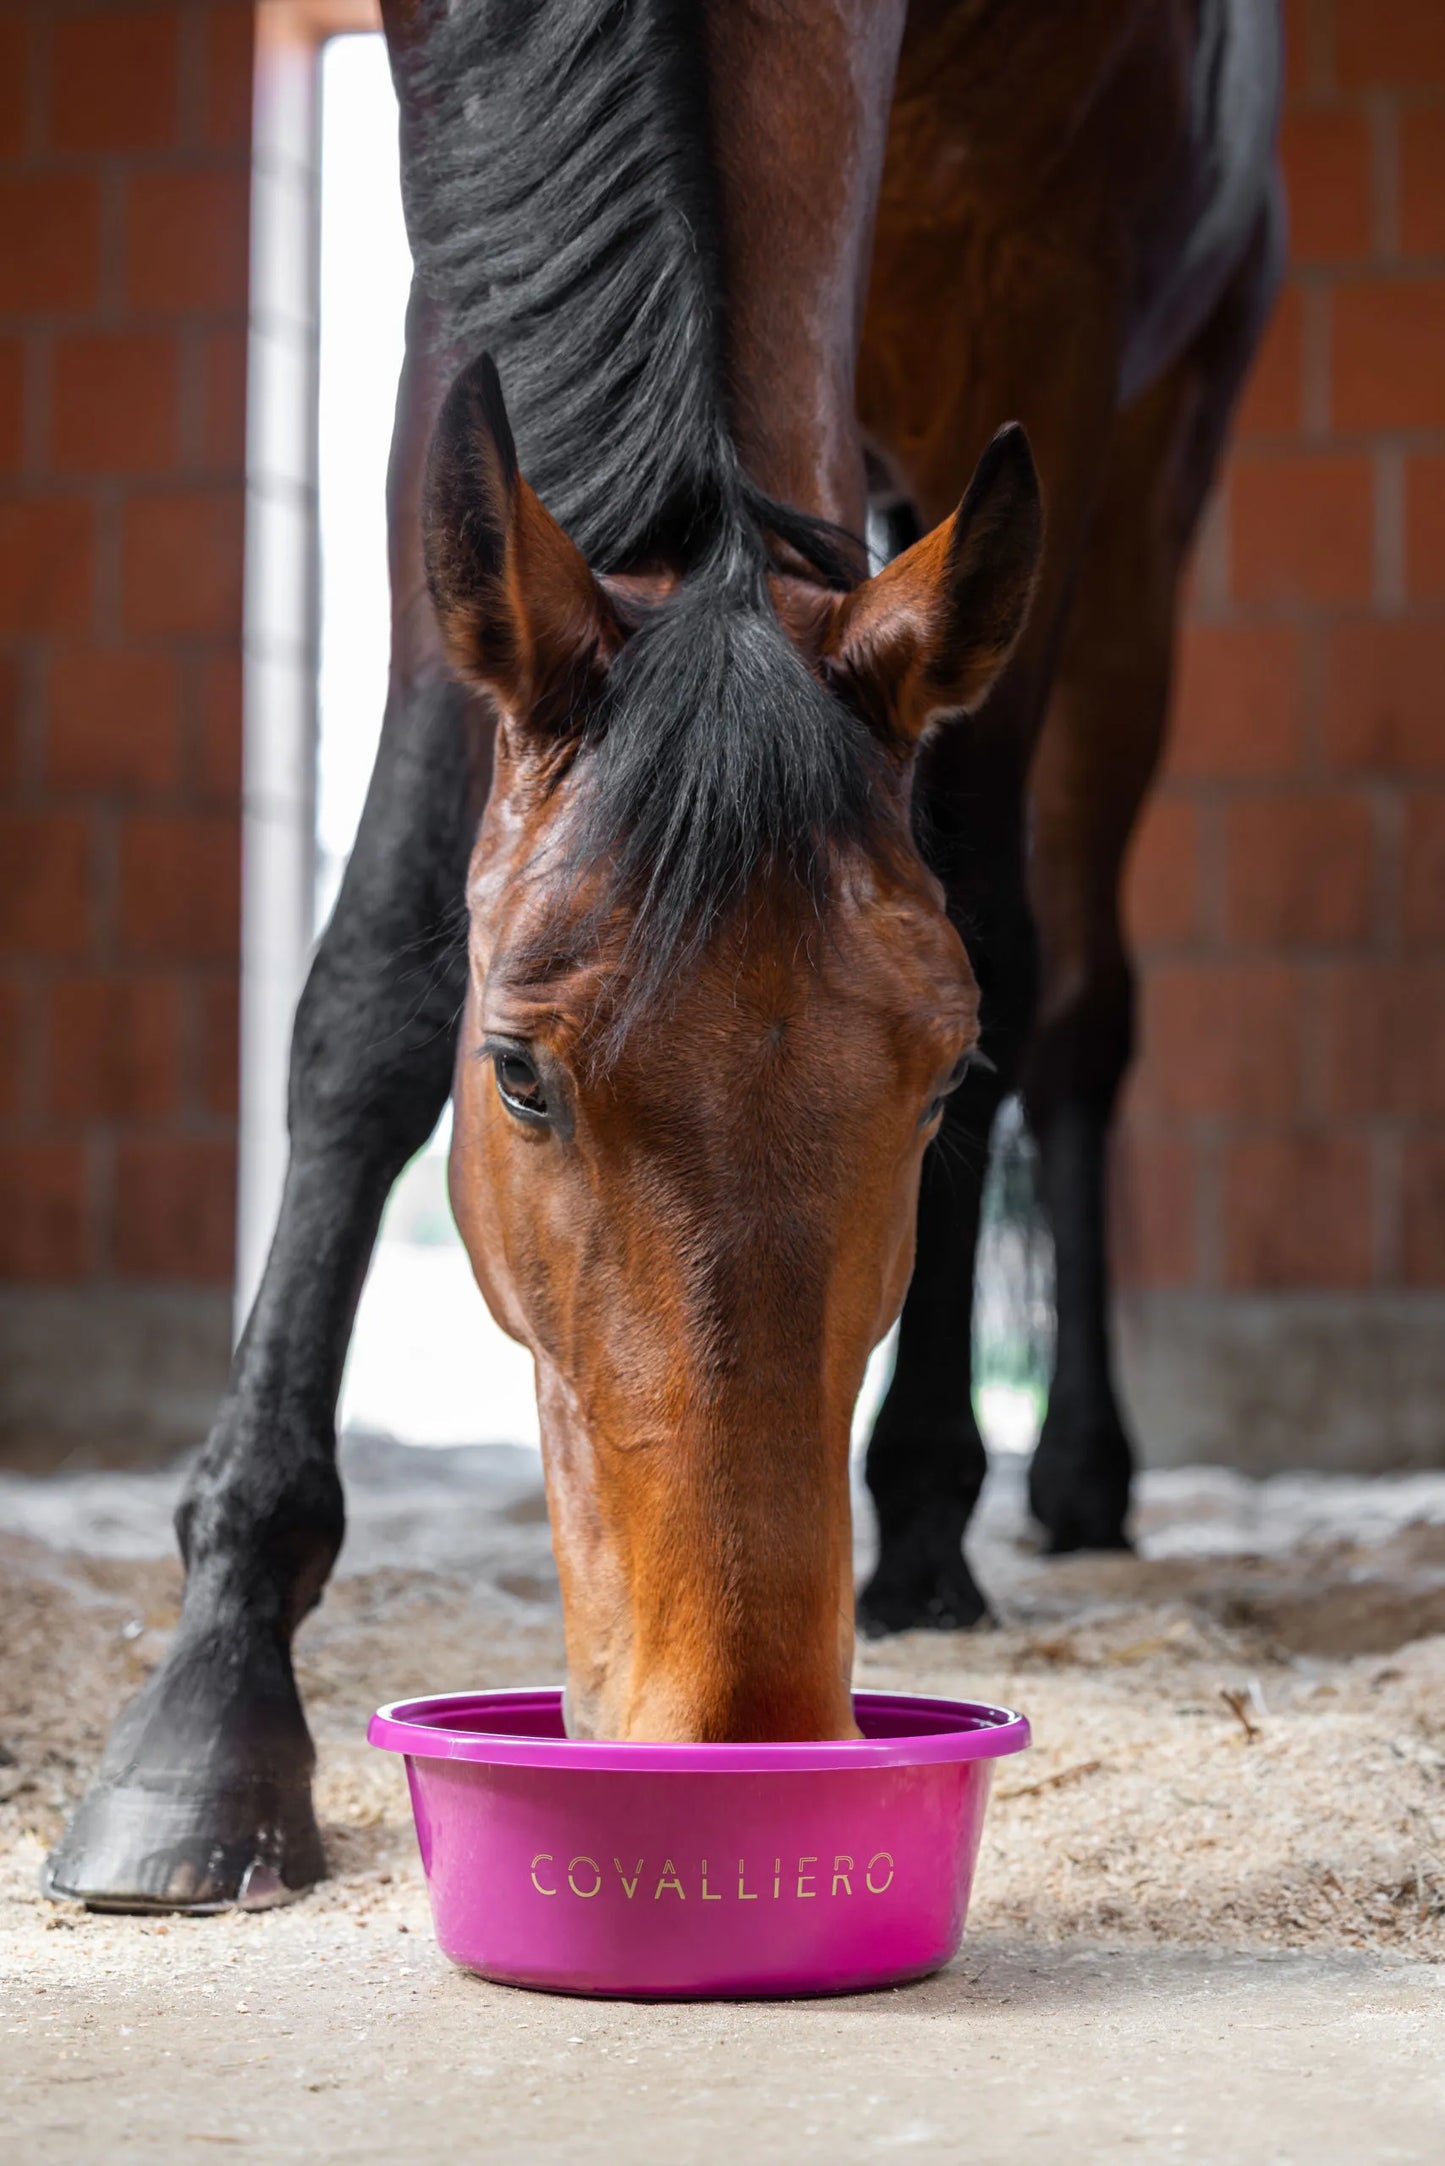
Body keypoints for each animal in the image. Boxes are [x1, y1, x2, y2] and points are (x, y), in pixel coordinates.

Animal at [47, 0, 1281, 1908]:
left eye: (938, 1085)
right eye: (516, 1075)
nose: (739, 1720)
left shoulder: (1057, 316)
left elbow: (1009, 964)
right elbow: (375, 975)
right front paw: (212, 1698)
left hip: (1137, 509)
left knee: (1076, 1002)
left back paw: (1006, 1491)